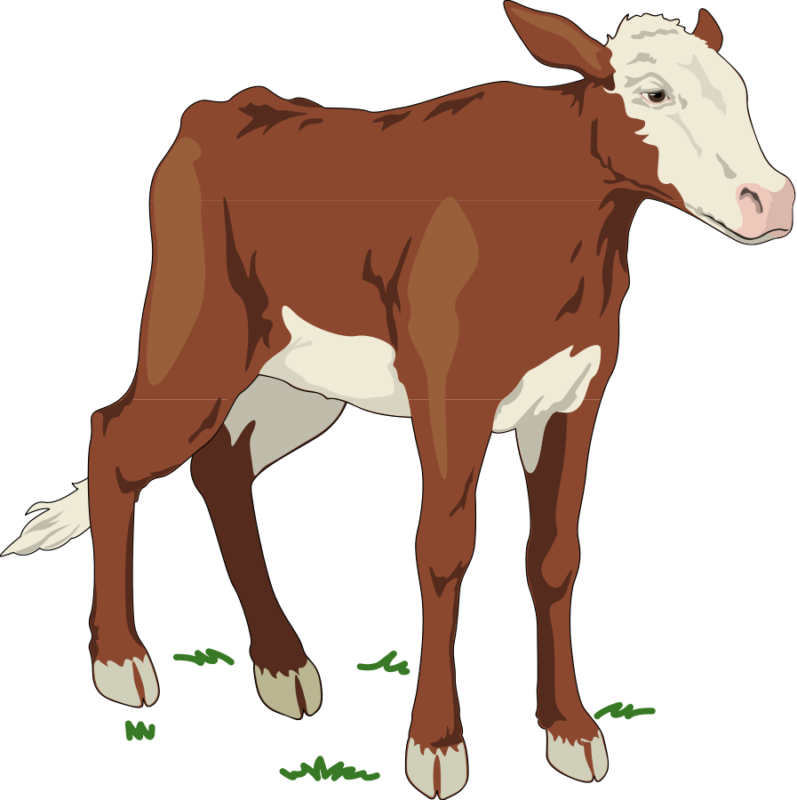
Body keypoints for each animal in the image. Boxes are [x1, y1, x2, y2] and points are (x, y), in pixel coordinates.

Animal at [4, 3, 791, 796]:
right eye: (654, 95)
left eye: (741, 94)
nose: (772, 200)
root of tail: (223, 110)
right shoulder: (449, 387)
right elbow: (442, 551)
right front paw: (436, 746)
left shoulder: (575, 393)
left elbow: (554, 556)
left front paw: (570, 731)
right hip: (199, 341)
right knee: (115, 441)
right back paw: (122, 662)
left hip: (301, 381)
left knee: (220, 467)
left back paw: (281, 665)